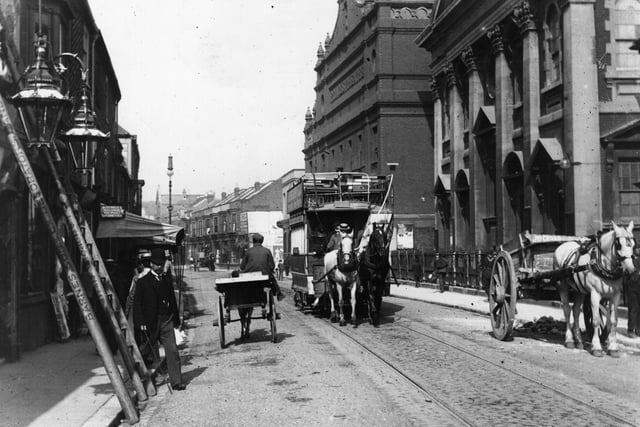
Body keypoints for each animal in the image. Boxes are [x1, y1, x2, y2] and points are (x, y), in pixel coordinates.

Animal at [552, 221, 636, 358]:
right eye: (619, 244)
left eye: (633, 244)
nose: (631, 271)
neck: (604, 264)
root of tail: (562, 245)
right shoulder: (595, 294)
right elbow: (596, 321)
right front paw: (596, 347)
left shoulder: (615, 295)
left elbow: (613, 321)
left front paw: (613, 348)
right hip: (562, 285)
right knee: (567, 311)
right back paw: (569, 340)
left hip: (578, 290)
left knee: (576, 311)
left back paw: (579, 341)